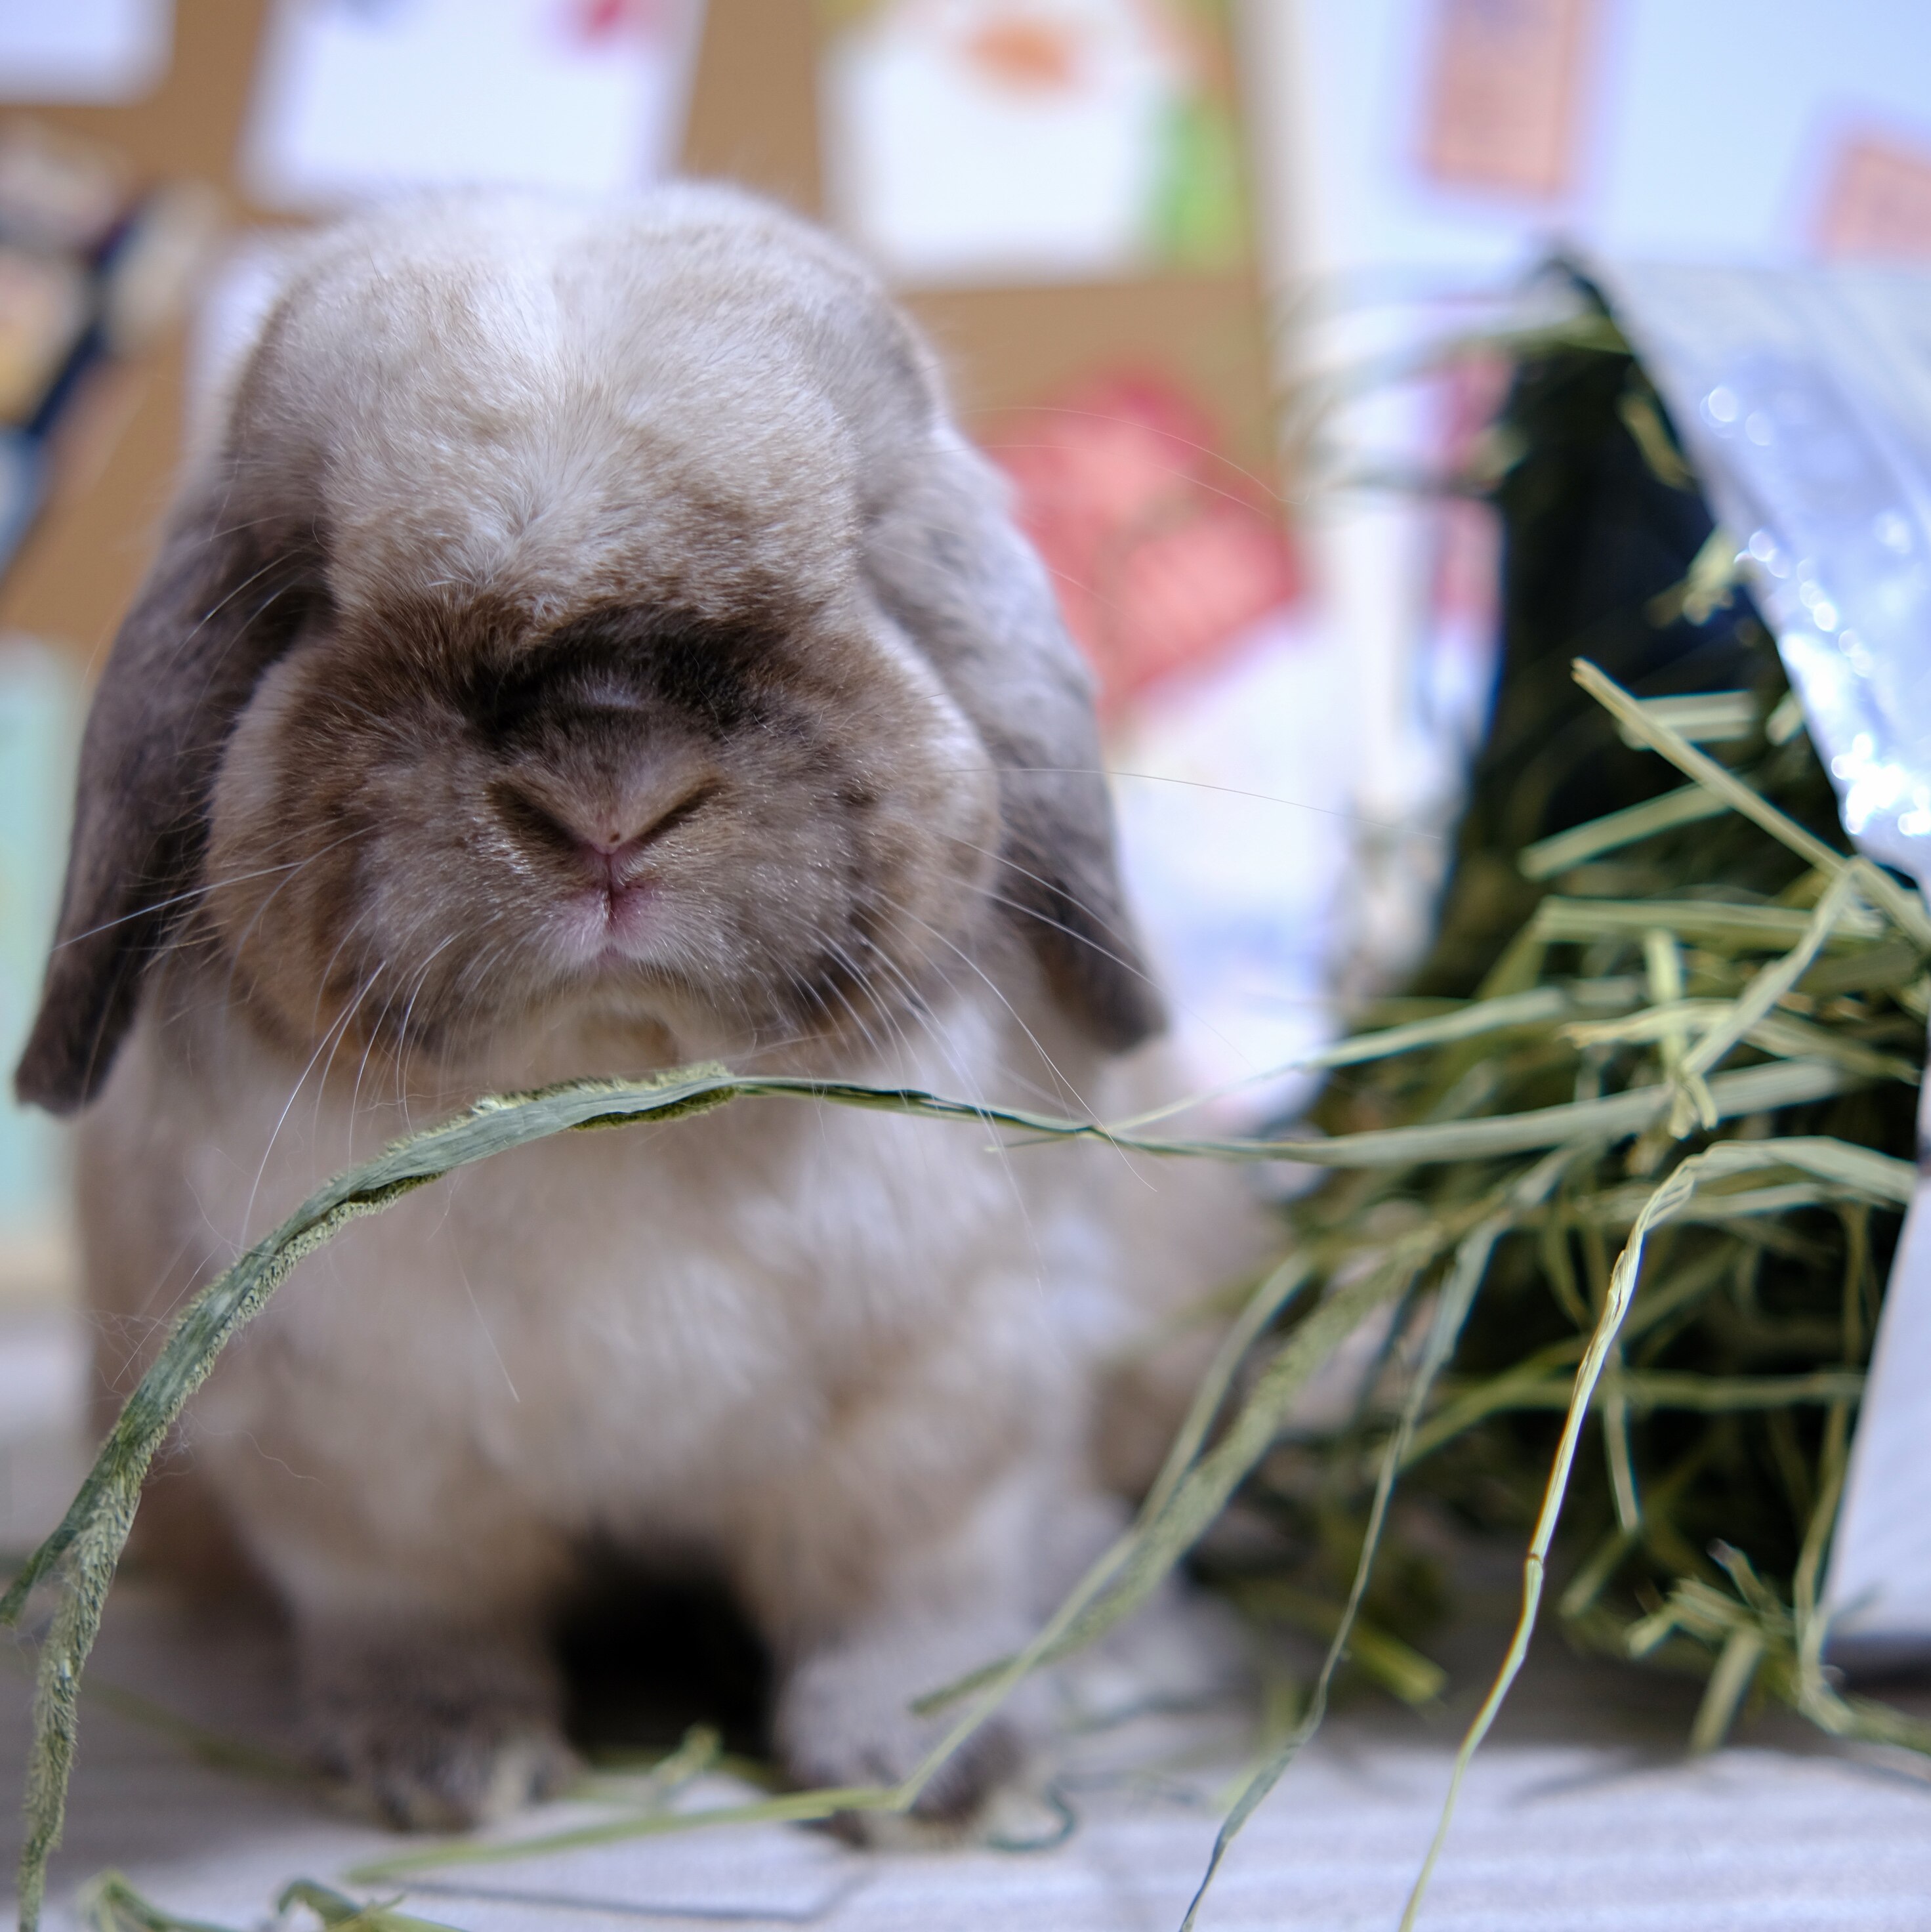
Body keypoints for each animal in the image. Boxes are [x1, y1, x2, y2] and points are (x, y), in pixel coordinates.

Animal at [16, 185, 1268, 1833]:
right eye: (307, 596)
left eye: (859, 564)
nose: (606, 791)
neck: (611, 1102)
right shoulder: (363, 1478)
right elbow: (421, 1617)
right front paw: (452, 1769)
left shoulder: (938, 1414)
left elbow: (906, 1606)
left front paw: (934, 1778)